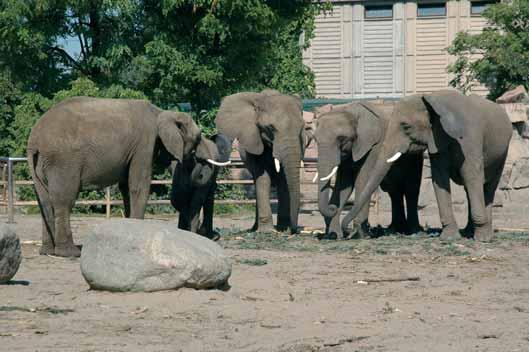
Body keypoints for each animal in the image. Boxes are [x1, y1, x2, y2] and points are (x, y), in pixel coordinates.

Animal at [27, 95, 225, 256]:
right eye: (198, 138)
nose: (198, 160)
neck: (162, 112)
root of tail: (35, 139)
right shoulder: (145, 142)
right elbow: (138, 184)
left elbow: (125, 187)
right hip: (63, 162)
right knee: (64, 200)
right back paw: (70, 253)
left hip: (41, 164)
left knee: (44, 200)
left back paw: (47, 251)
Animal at [214, 90, 310, 234]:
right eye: (270, 128)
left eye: (302, 128)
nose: (294, 230)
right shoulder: (255, 141)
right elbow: (263, 178)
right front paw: (267, 231)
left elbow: (283, 180)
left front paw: (282, 228)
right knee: (256, 181)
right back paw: (255, 228)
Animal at [314, 100, 420, 241]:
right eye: (315, 139)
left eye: (341, 138)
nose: (332, 208)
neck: (351, 111)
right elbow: (344, 186)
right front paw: (335, 235)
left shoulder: (375, 145)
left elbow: (363, 179)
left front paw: (360, 235)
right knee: (393, 190)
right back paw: (395, 230)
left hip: (414, 155)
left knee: (411, 189)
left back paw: (414, 231)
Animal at [342, 89, 512, 242]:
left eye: (405, 126)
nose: (348, 233)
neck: (432, 99)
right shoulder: (436, 140)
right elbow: (439, 178)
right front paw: (449, 238)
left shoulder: (470, 138)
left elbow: (471, 175)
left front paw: (481, 239)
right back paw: (469, 232)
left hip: (502, 153)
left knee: (487, 187)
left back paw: (484, 235)